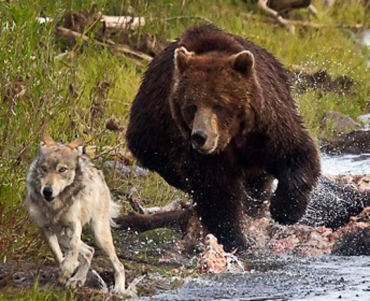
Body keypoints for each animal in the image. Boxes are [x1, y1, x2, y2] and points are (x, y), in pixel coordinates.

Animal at [26, 135, 127, 294]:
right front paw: (65, 271)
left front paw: (67, 269)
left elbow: (73, 248)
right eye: (44, 168)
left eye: (62, 169)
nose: (47, 191)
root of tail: (97, 171)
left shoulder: (75, 225)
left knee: (118, 264)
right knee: (89, 251)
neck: (55, 205)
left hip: (99, 235)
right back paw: (78, 279)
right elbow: (57, 253)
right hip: (62, 235)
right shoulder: (45, 229)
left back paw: (118, 289)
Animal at [125, 24, 320, 250]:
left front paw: (285, 210)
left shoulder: (265, 126)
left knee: (258, 181)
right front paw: (235, 238)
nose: (200, 137)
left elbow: (296, 152)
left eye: (219, 105)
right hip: (150, 131)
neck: (232, 136)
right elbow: (216, 191)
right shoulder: (202, 153)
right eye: (191, 106)